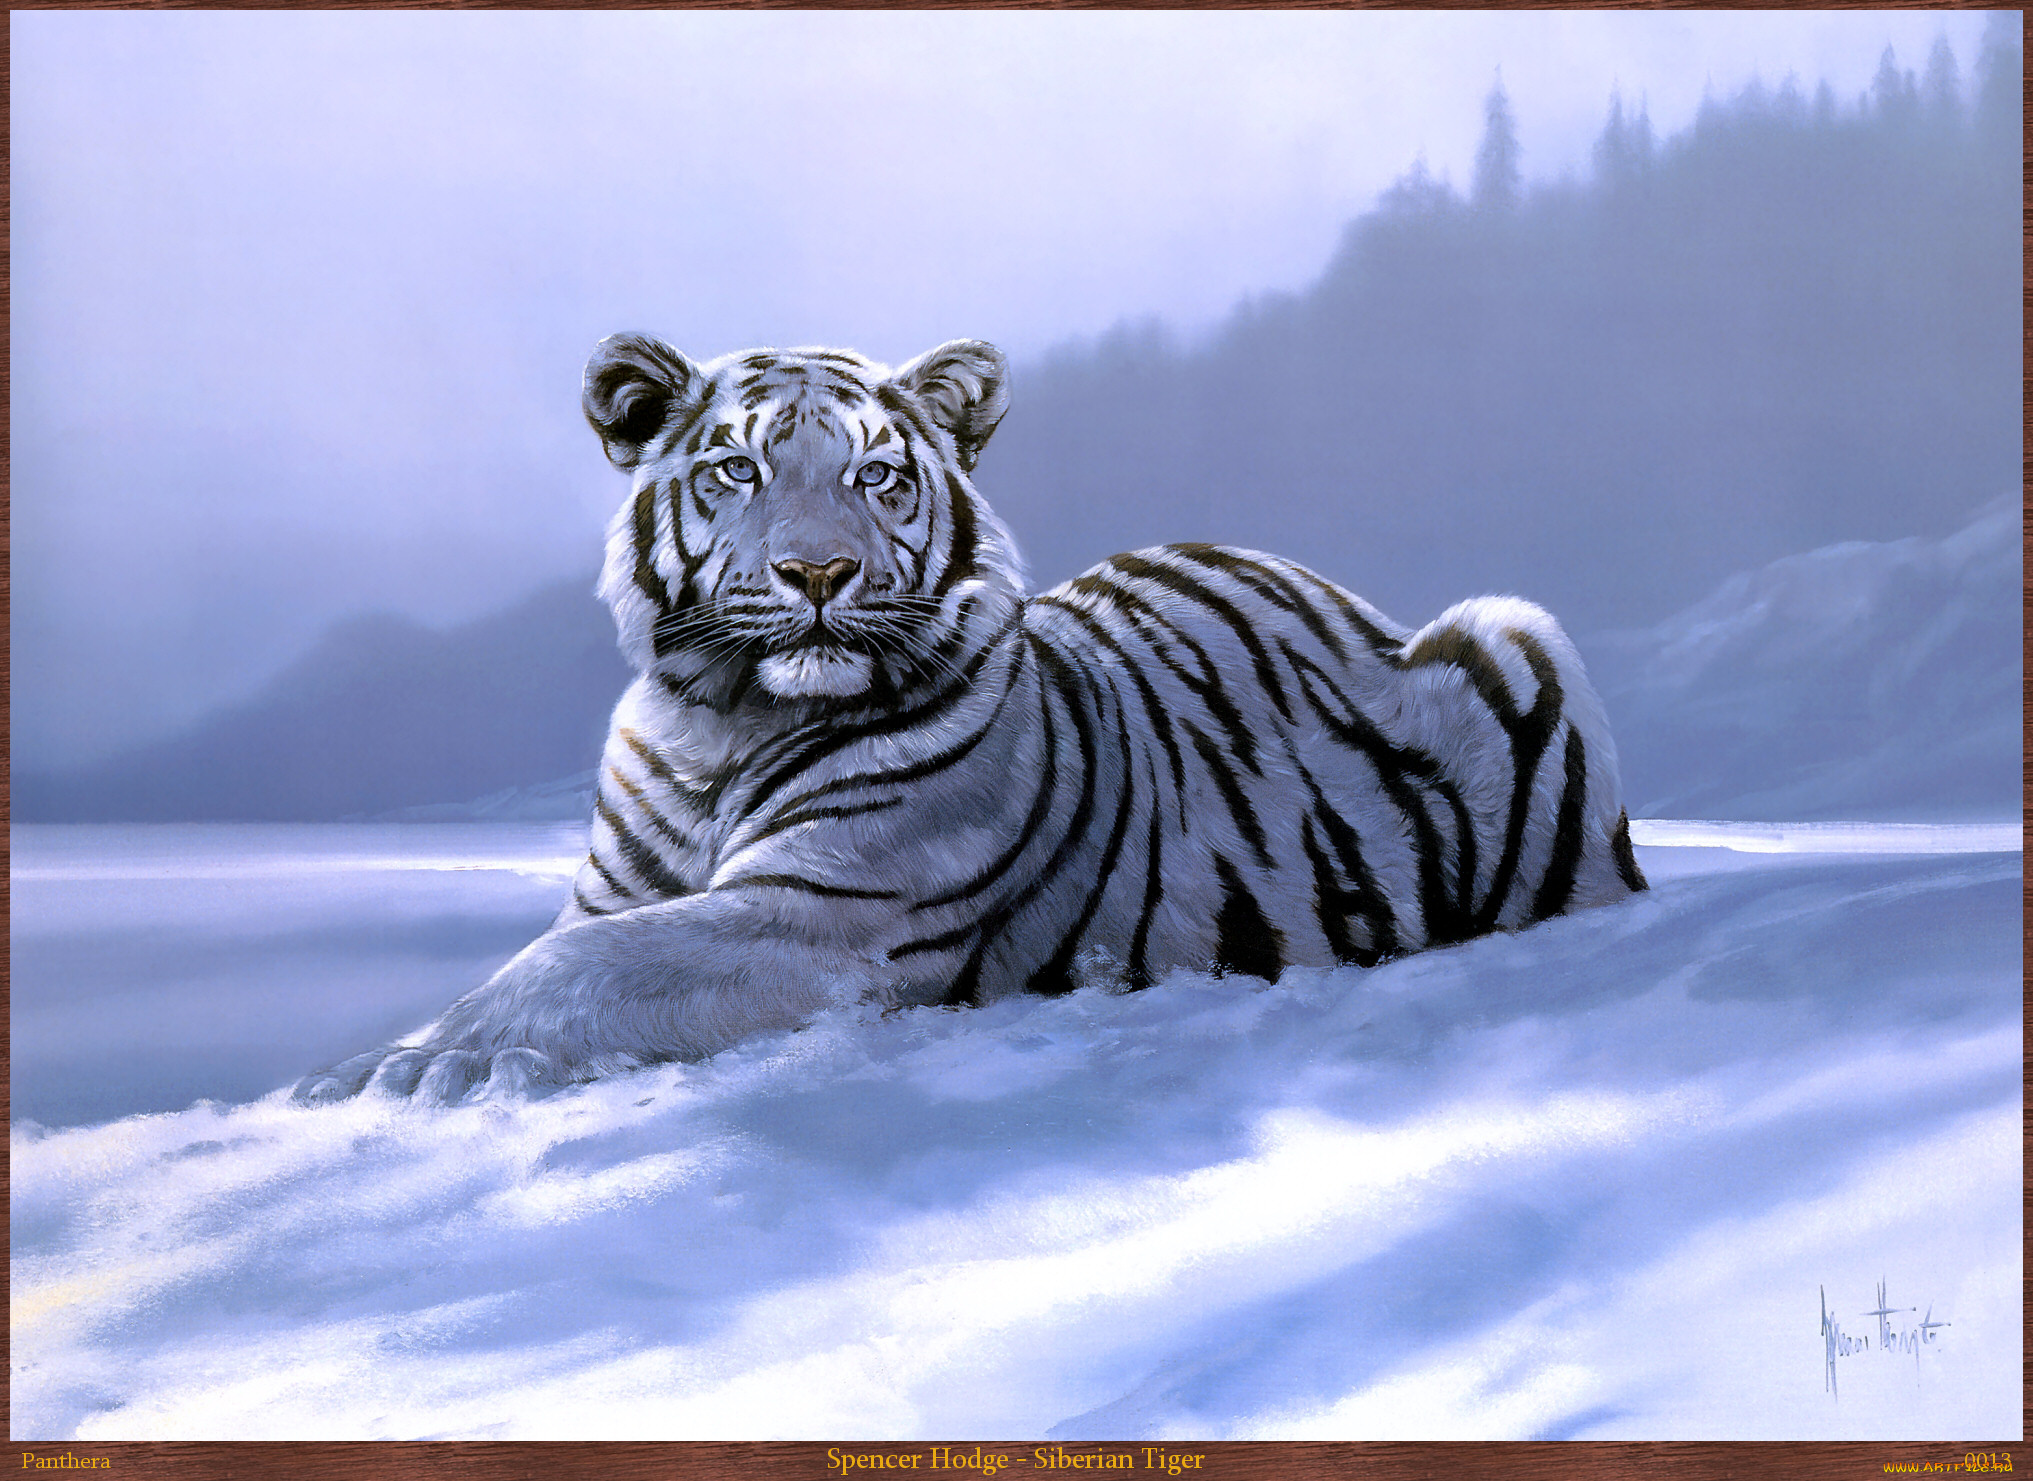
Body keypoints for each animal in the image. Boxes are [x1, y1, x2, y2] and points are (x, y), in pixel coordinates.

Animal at [295, 335, 1648, 1106]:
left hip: (1516, 631)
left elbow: (576, 966)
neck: (719, 724)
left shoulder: (823, 911)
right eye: (736, 469)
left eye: (876, 475)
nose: (818, 573)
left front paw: (404, 1065)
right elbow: (561, 947)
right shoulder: (620, 888)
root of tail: (1339, 590)